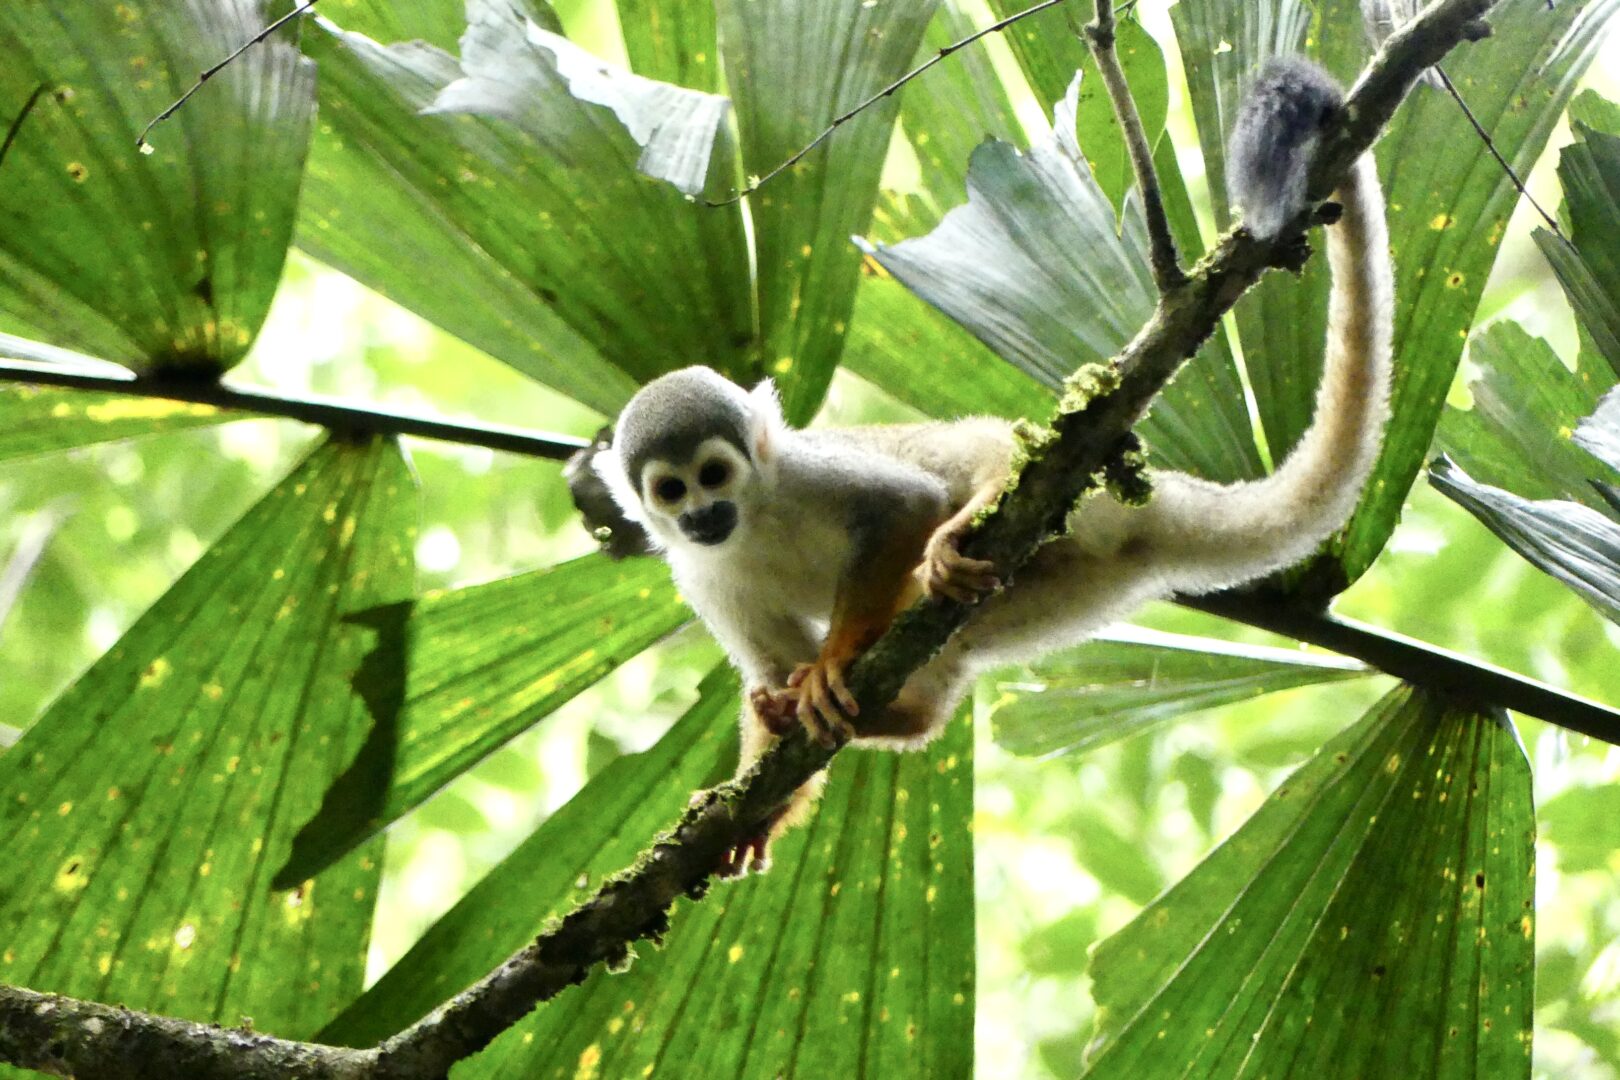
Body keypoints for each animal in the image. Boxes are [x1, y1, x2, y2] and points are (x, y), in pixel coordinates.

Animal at [595, 57, 1392, 876]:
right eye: (671, 490)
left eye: (715, 474)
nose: (701, 514)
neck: (754, 522)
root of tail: (1149, 511)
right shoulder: (702, 575)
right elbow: (768, 666)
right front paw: (757, 803)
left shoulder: (803, 475)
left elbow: (902, 507)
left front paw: (833, 665)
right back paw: (891, 715)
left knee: (981, 473)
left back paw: (967, 528)